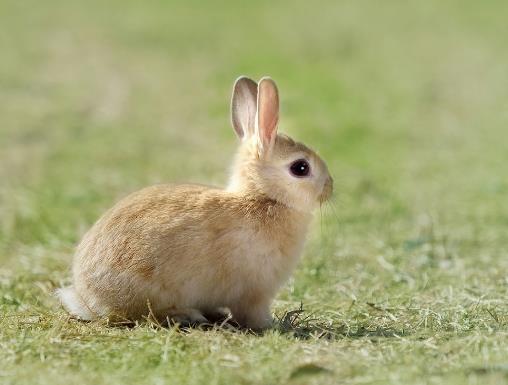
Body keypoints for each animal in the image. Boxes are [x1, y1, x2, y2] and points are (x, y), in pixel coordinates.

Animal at [56, 76, 334, 330]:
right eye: (300, 167)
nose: (330, 187)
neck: (264, 197)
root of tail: (86, 297)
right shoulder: (254, 293)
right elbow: (252, 315)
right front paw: (275, 326)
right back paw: (187, 315)